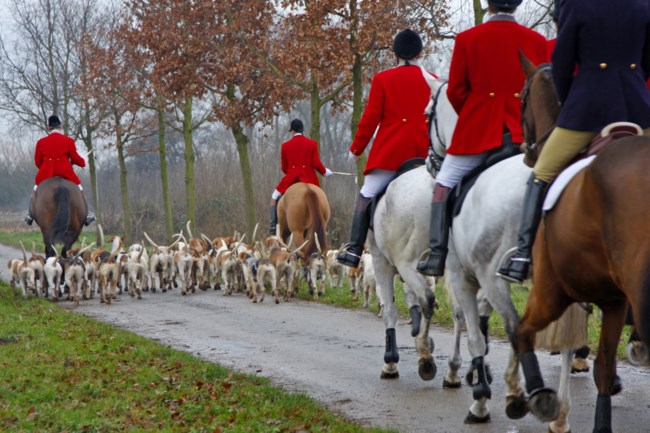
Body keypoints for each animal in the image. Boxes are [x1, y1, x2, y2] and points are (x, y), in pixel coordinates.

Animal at [504, 58, 650, 432]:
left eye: (521, 98)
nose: (527, 154)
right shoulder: (613, 300)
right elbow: (604, 366)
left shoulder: (553, 290)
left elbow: (524, 331)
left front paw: (542, 401)